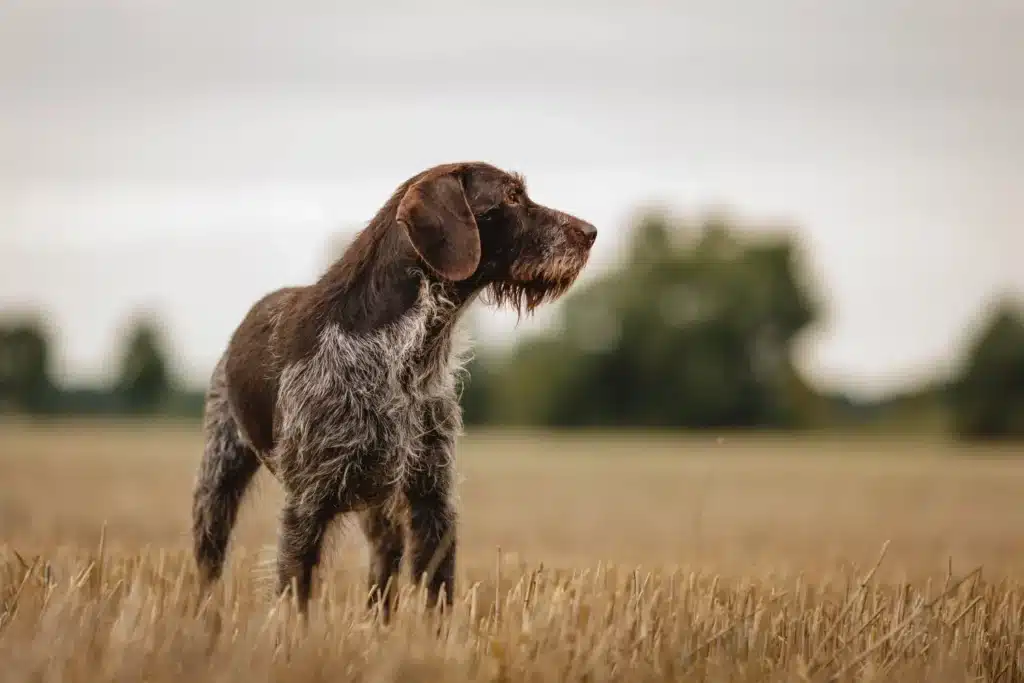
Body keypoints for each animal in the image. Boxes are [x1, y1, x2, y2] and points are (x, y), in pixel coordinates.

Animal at [188, 161, 598, 618]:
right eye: (510, 196)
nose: (592, 232)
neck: (406, 357)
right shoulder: (308, 504)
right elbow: (297, 595)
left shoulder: (432, 498)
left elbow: (437, 595)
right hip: (218, 479)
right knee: (209, 561)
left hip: (380, 504)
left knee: (384, 567)